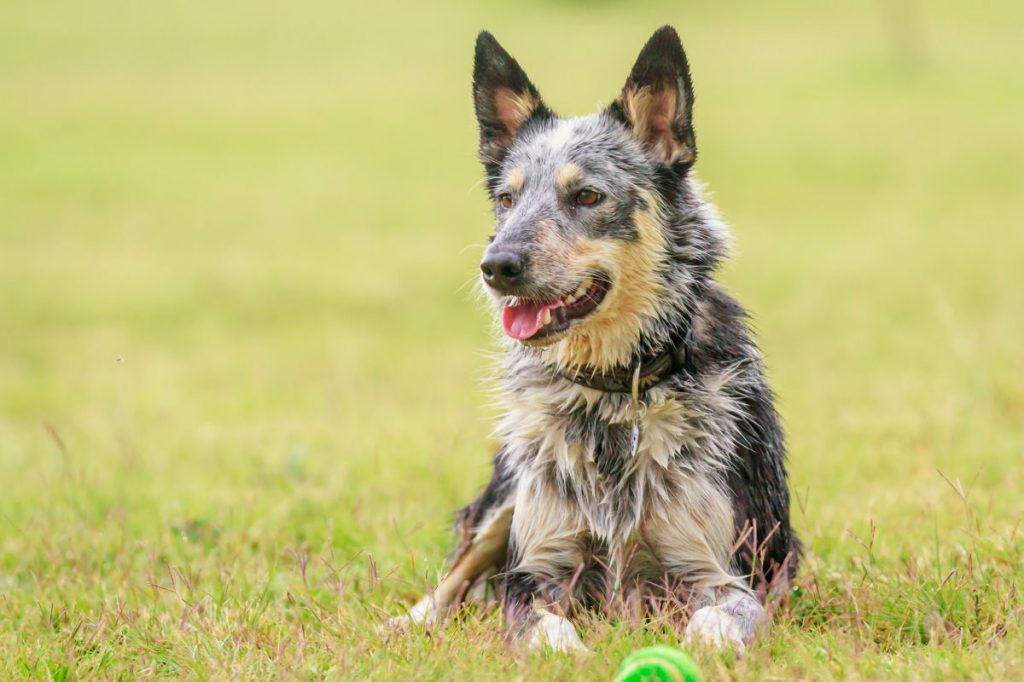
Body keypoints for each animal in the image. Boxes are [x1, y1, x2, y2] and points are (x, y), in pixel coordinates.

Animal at [391, 27, 798, 655]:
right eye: (507, 200)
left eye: (586, 197)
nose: (496, 267)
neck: (612, 395)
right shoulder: (535, 571)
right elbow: (545, 628)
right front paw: (568, 656)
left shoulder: (721, 570)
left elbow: (717, 621)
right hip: (506, 498)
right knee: (456, 571)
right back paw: (408, 624)